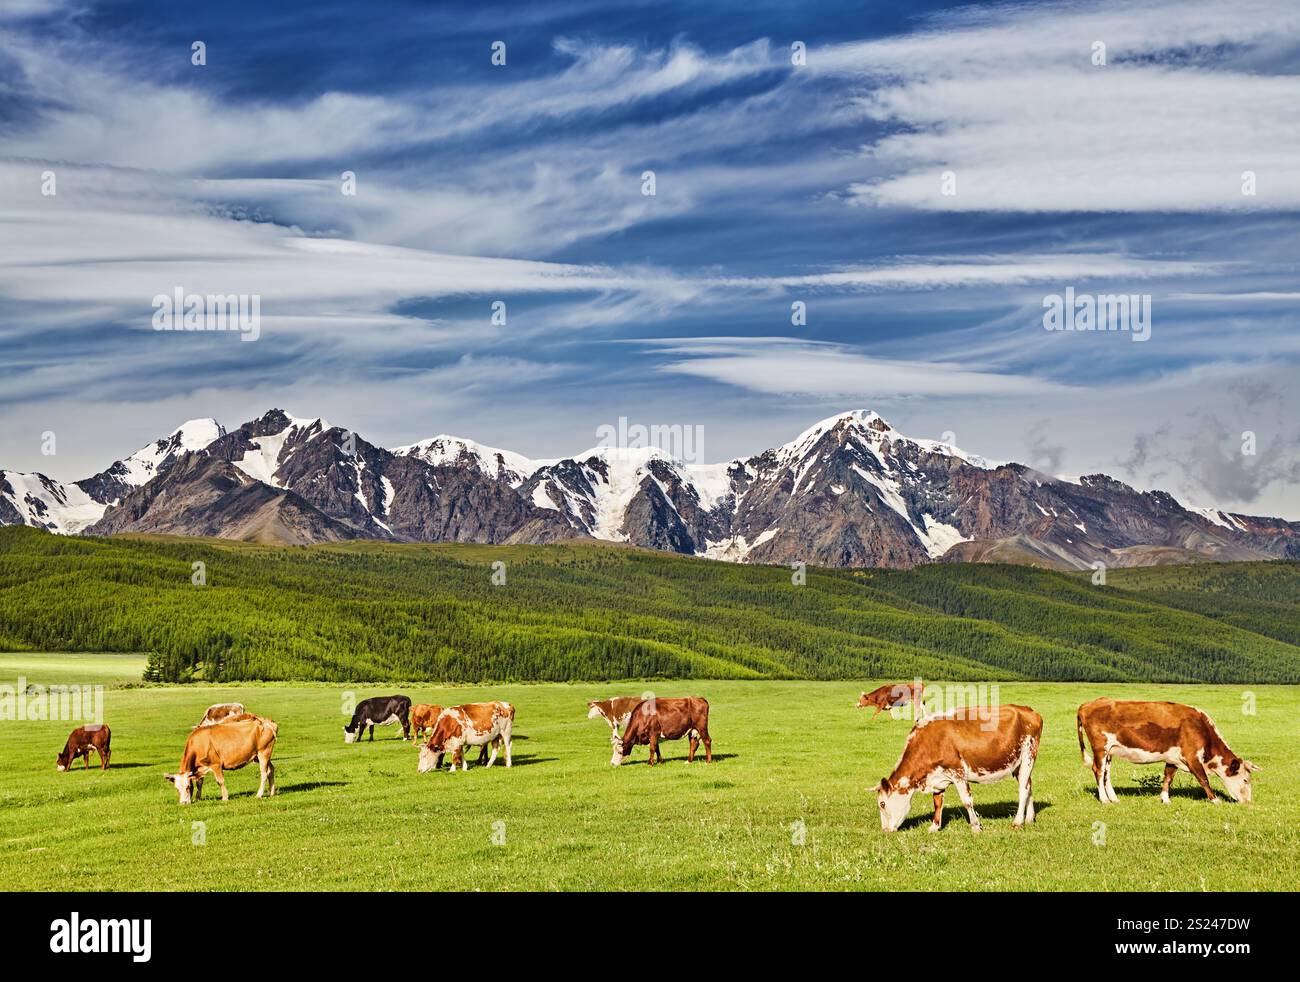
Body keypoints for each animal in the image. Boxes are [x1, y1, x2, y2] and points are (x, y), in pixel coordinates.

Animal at [876, 704, 1042, 834]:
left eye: (882, 804)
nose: (885, 830)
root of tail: (1028, 710)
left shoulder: (957, 771)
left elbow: (967, 801)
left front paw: (975, 827)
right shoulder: (938, 776)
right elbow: (937, 802)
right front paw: (934, 827)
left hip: (1029, 755)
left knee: (1023, 790)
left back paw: (1018, 822)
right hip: (1018, 763)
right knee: (1028, 785)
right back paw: (1029, 818)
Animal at [1077, 698, 1259, 805]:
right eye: (1245, 780)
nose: (1248, 802)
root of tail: (1087, 704)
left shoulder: (1173, 758)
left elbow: (1168, 778)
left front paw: (1165, 799)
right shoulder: (1192, 756)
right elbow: (1203, 779)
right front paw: (1215, 800)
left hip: (1110, 751)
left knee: (1106, 773)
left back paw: (1114, 798)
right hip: (1100, 747)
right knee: (1098, 770)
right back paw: (1104, 800)